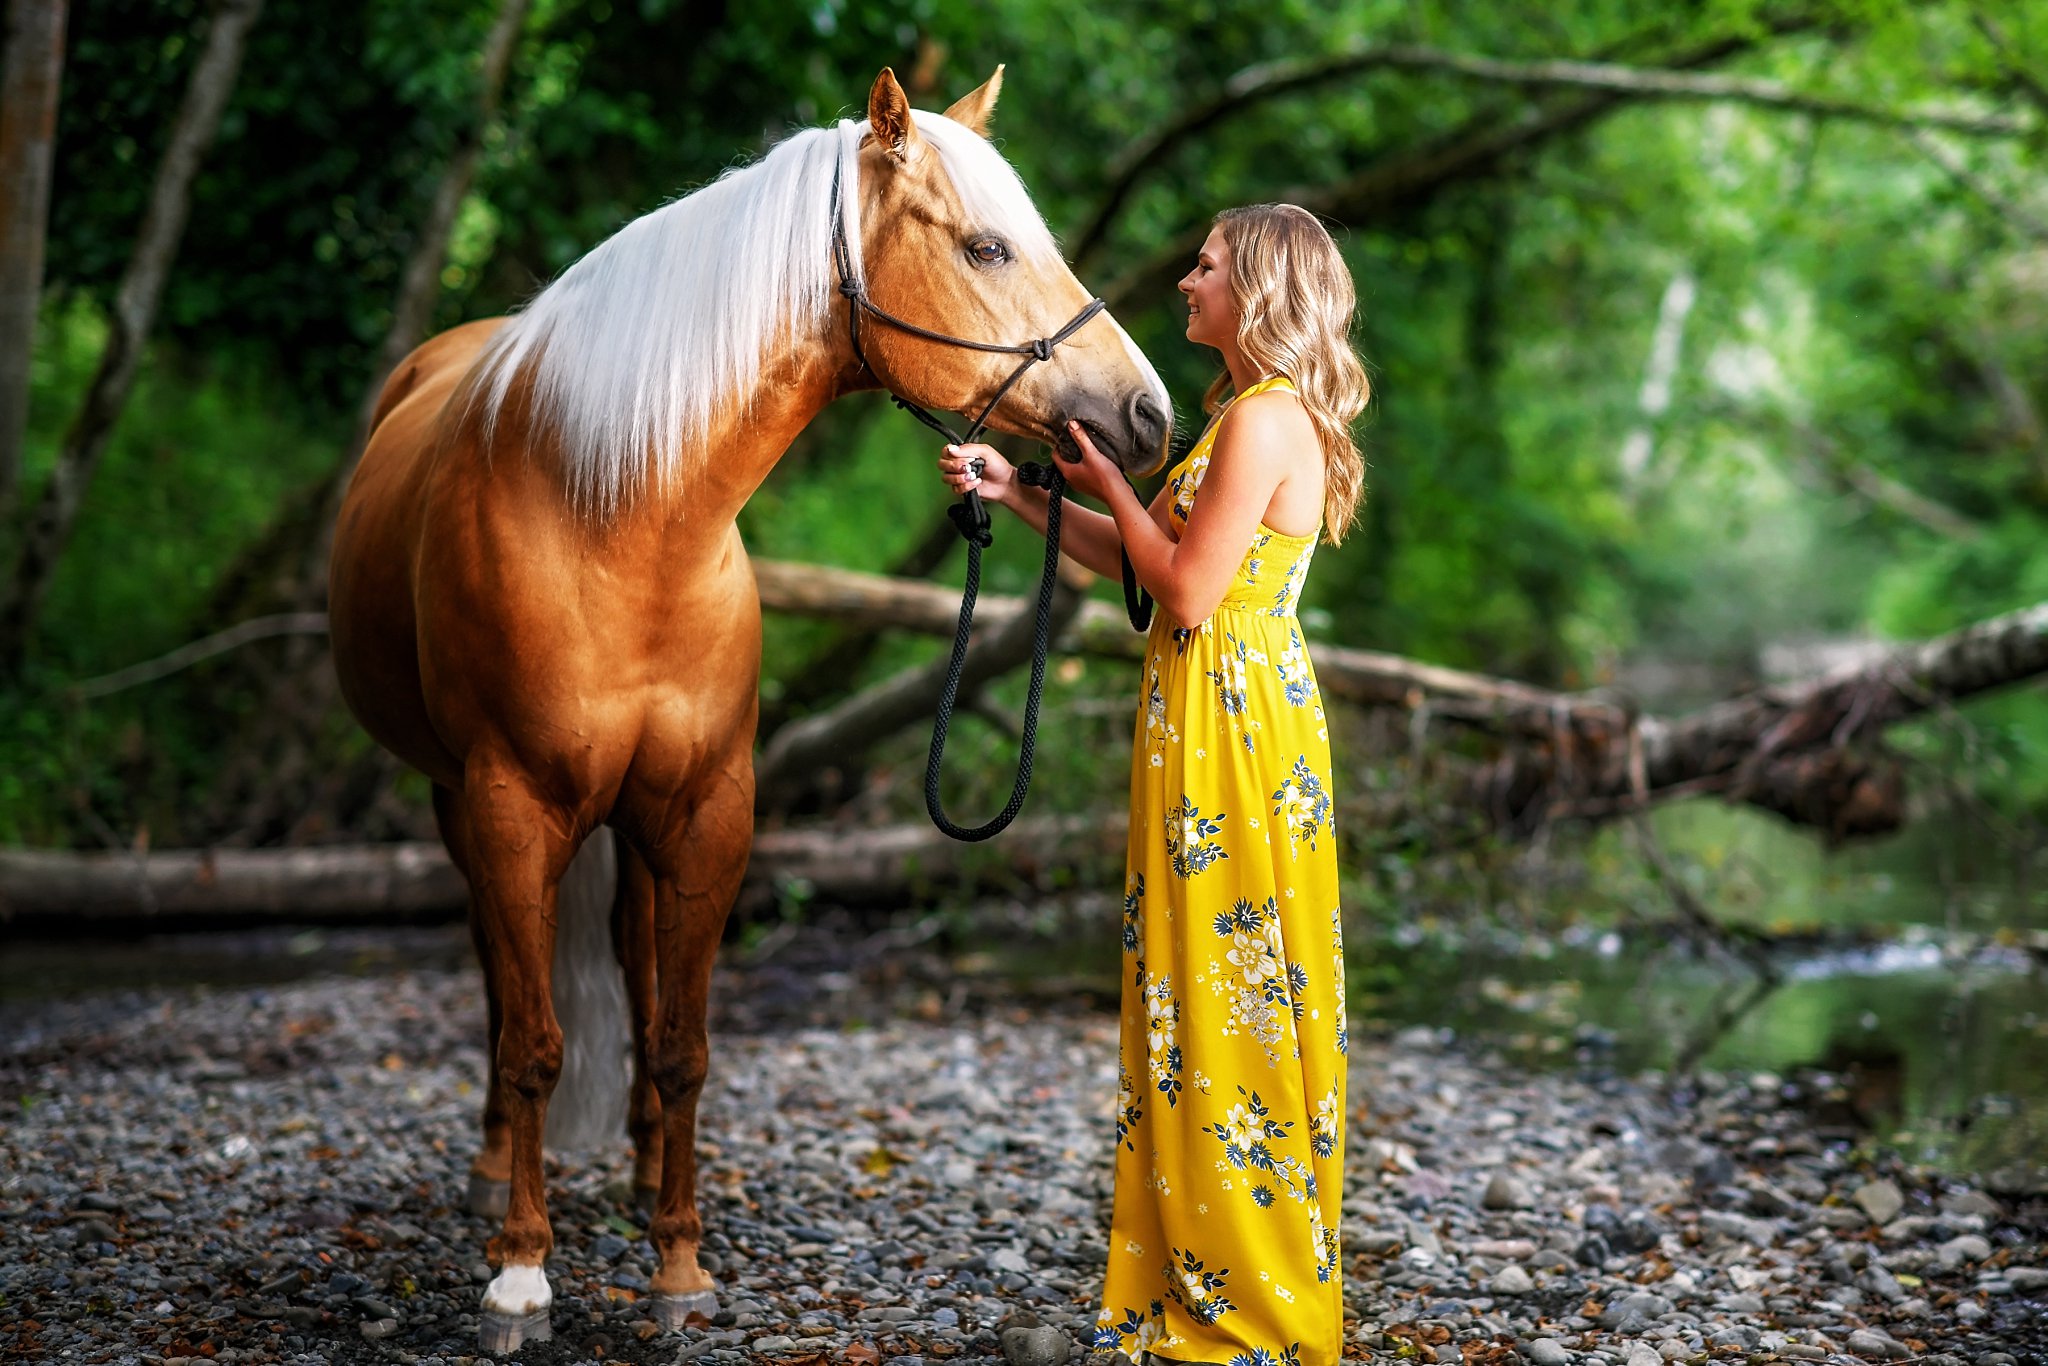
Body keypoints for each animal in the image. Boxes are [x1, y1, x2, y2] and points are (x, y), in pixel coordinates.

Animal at [327, 66, 1172, 1351]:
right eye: (984, 246)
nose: (1147, 414)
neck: (615, 518)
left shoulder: (709, 813)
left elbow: (681, 1042)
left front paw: (677, 1264)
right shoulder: (510, 806)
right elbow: (532, 1043)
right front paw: (520, 1273)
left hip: (631, 823)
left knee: (630, 967)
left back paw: (634, 1172)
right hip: (461, 807)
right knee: (497, 982)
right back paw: (491, 1173)